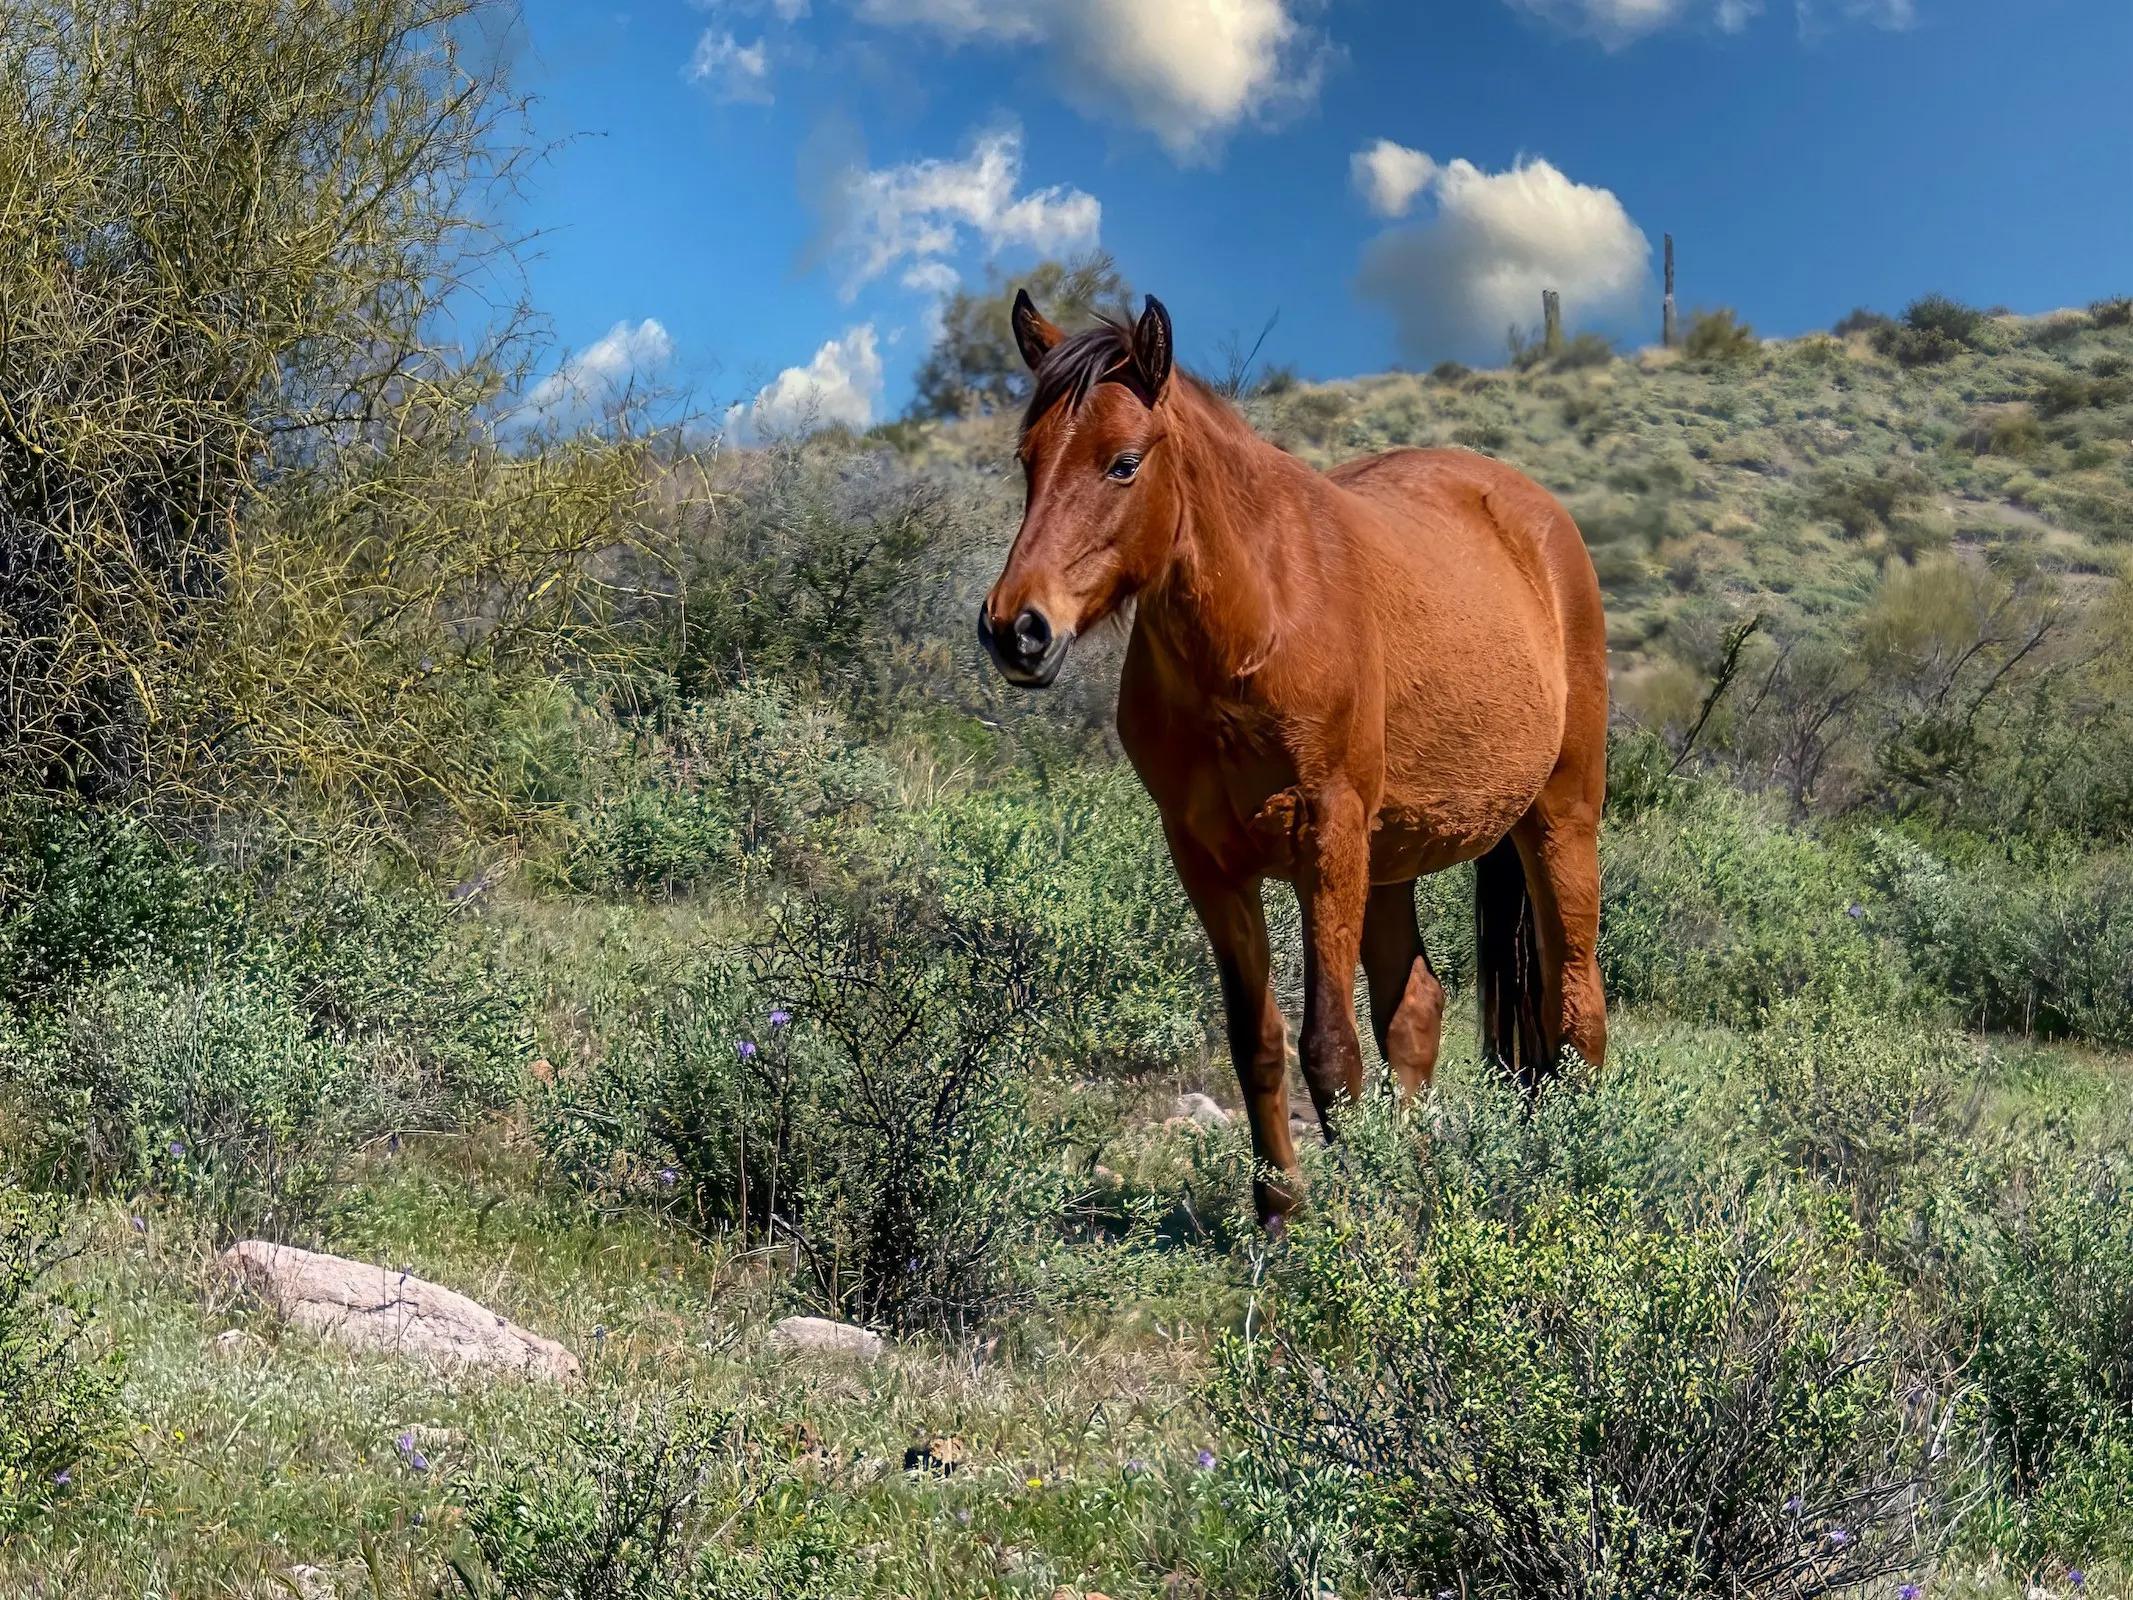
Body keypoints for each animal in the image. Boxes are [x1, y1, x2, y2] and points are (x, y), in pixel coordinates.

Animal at [976, 294, 1604, 1220]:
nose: (1015, 629)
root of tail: (1537, 519)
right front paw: (1281, 1213)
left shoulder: (1326, 838)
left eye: (1122, 463)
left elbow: (1329, 1050)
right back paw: (1418, 1176)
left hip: (1556, 822)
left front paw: (1354, 1222)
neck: (1256, 622)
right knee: (1416, 1013)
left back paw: (1582, 1172)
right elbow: (1259, 1042)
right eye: (1027, 460)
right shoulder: (1206, 862)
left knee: (1576, 1012)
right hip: (1392, 861)